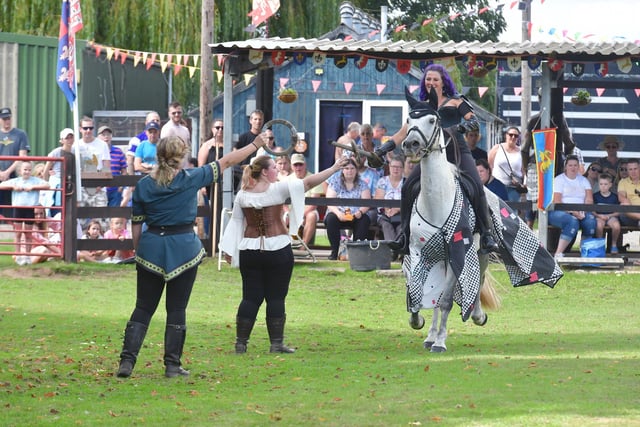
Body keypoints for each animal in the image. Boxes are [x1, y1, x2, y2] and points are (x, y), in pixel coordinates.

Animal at [400, 88, 500, 352]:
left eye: (431, 120)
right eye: (409, 120)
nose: (411, 145)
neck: (437, 202)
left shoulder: (458, 252)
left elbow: (445, 301)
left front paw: (441, 342)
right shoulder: (417, 251)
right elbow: (417, 294)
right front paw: (419, 322)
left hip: (479, 252)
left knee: (480, 278)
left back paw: (477, 316)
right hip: (440, 258)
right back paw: (430, 336)